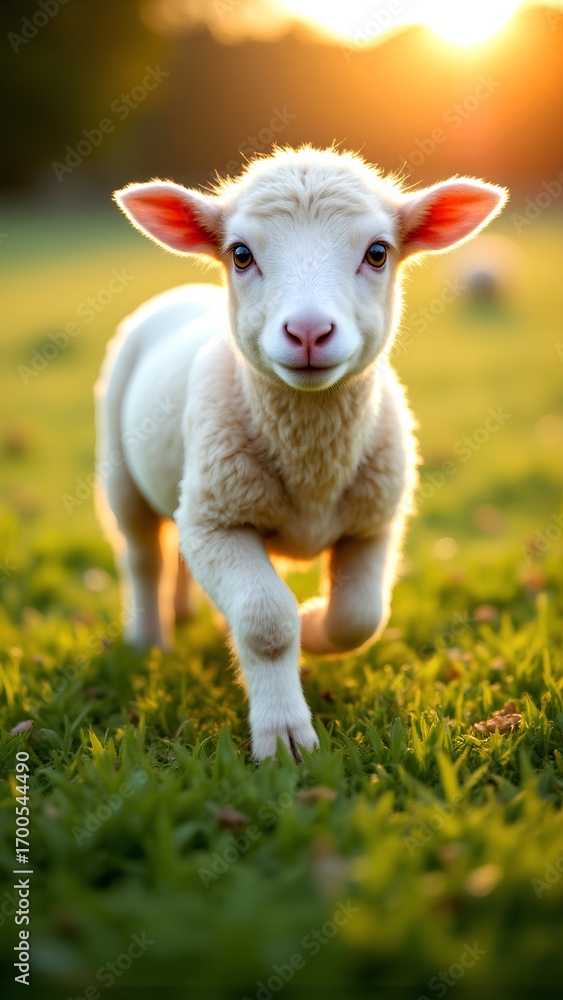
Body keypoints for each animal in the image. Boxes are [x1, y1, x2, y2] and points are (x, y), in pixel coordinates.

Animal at [95, 146, 507, 761]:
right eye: (241, 254)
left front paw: (314, 626)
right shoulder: (216, 523)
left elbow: (361, 617)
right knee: (143, 557)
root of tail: (180, 294)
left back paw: (185, 611)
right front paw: (284, 736)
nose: (309, 332)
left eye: (378, 252)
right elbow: (266, 620)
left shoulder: (374, 523)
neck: (313, 466)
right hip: (122, 474)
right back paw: (150, 639)